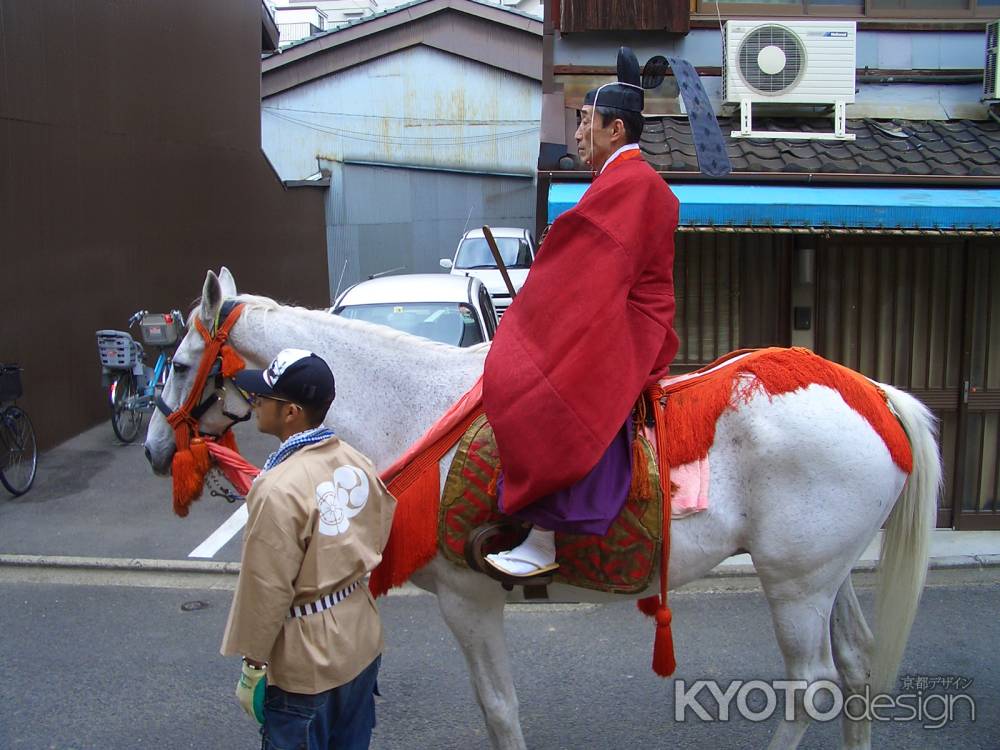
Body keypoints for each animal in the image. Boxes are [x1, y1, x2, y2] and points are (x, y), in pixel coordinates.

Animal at [145, 272, 940, 750]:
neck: (414, 406)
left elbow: (499, 706)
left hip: (797, 585)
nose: (154, 448)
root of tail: (871, 392)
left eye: (180, 366)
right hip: (823, 574)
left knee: (811, 688)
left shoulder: (468, 599)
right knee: (855, 667)